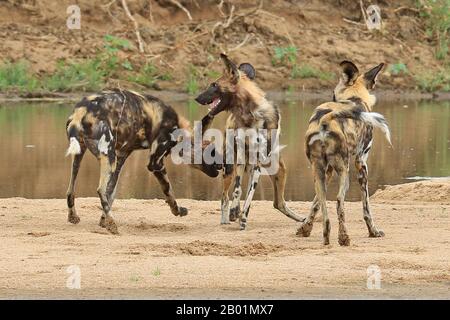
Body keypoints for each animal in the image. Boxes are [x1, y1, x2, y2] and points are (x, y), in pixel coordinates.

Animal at [65, 89, 220, 234]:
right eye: (211, 152)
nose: (221, 164)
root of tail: (82, 111)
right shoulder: (155, 163)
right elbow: (169, 190)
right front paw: (177, 211)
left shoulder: (121, 157)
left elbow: (111, 193)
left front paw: (103, 221)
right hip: (107, 157)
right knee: (100, 189)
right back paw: (113, 224)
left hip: (82, 156)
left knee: (71, 190)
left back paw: (74, 217)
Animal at [194, 54, 304, 230]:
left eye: (214, 85)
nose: (196, 98)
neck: (249, 115)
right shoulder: (239, 161)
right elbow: (237, 191)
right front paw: (235, 213)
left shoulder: (257, 164)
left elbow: (250, 194)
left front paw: (243, 217)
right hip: (230, 167)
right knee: (225, 196)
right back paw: (226, 218)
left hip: (279, 169)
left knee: (278, 202)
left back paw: (302, 219)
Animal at [296, 60, 390, 245]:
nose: (331, 96)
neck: (354, 98)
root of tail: (325, 121)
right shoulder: (361, 164)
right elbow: (366, 208)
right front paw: (373, 231)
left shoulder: (328, 171)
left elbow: (315, 204)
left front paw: (305, 229)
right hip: (344, 169)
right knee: (339, 201)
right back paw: (344, 237)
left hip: (320, 171)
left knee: (323, 202)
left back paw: (326, 238)